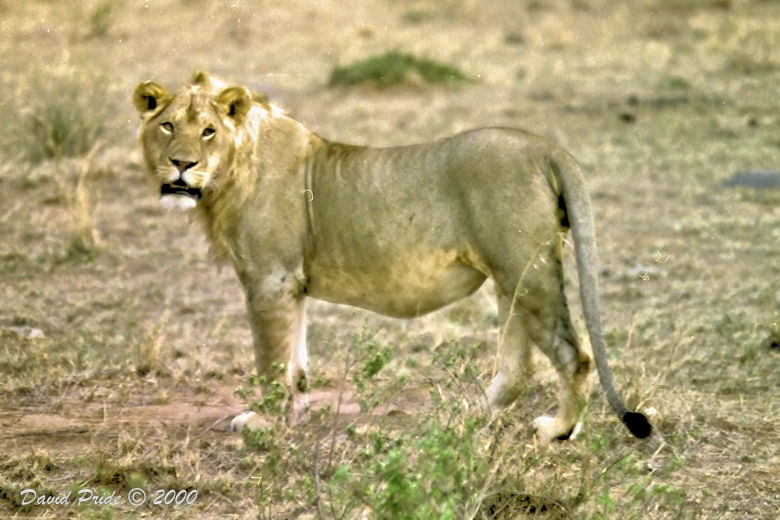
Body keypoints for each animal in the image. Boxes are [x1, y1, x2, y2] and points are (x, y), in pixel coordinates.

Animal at [134, 70, 652, 442]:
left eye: (208, 132)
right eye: (167, 126)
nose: (181, 165)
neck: (232, 171)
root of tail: (546, 147)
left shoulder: (270, 279)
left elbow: (272, 361)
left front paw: (262, 421)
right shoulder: (290, 285)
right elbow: (296, 362)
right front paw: (294, 414)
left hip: (528, 272)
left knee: (573, 356)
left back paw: (557, 432)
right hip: (514, 277)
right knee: (518, 366)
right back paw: (462, 419)